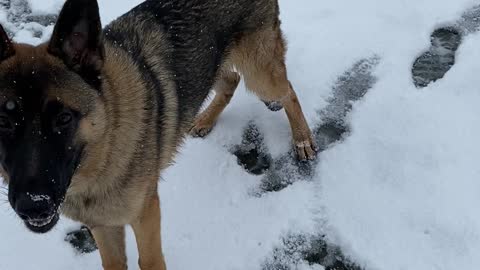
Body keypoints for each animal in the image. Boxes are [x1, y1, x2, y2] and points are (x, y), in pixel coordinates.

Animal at [0, 0, 316, 268]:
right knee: (231, 80)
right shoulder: (103, 224)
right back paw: (205, 119)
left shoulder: (146, 212)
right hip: (212, 61)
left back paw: (302, 138)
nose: (33, 205)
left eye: (64, 118)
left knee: (287, 92)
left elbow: (150, 261)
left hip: (260, 74)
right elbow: (113, 262)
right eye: (3, 121)